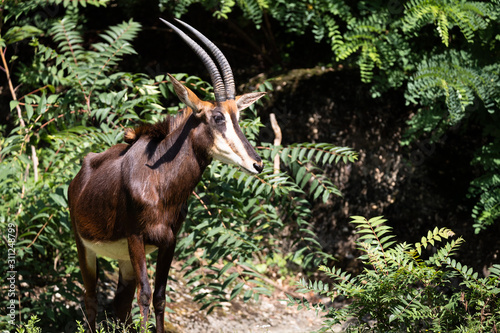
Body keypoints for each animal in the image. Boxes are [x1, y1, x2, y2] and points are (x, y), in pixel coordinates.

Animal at [69, 18, 268, 332]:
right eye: (217, 117)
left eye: (238, 117)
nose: (257, 164)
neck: (160, 181)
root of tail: (80, 175)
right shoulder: (137, 237)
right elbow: (146, 295)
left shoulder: (169, 241)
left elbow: (160, 296)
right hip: (85, 247)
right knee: (91, 298)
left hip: (123, 258)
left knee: (120, 304)